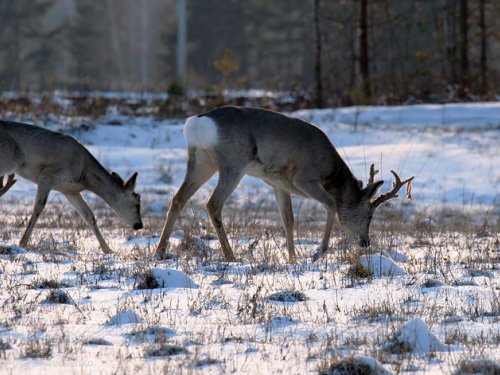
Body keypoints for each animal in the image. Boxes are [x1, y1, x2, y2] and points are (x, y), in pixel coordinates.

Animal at [0, 121, 143, 256]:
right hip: (12, 159)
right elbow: (38, 208)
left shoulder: (70, 190)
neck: (85, 175)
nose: (139, 225)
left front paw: (108, 250)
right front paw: (23, 242)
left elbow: (89, 215)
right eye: (137, 203)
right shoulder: (47, 176)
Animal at [156, 106, 414, 262]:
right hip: (233, 163)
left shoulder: (278, 184)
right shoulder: (304, 178)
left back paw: (160, 252)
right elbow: (331, 205)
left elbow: (288, 219)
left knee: (178, 198)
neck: (330, 172)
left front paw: (293, 258)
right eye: (369, 214)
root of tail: (197, 122)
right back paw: (231, 256)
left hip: (201, 161)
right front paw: (318, 252)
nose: (365, 242)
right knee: (213, 204)